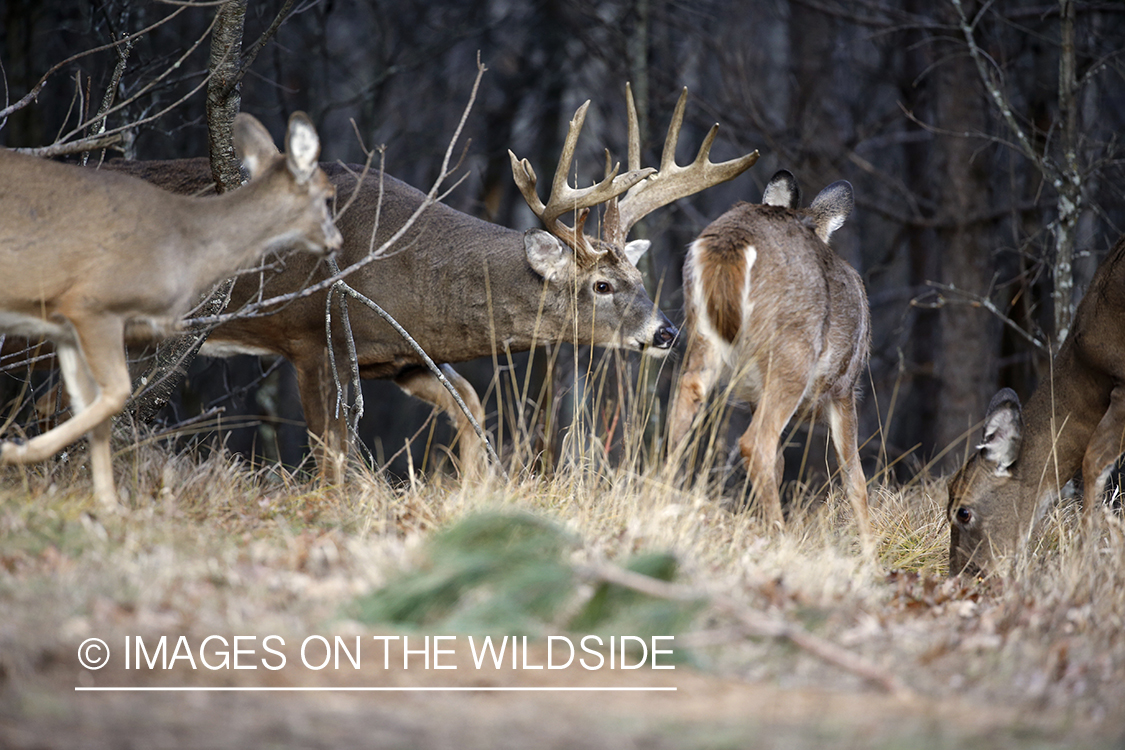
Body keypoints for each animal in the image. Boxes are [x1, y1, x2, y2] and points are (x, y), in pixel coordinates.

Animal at [1, 111, 342, 508]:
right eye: (329, 197)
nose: (337, 242)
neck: (184, 242)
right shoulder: (92, 302)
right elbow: (116, 393)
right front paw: (15, 452)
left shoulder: (63, 324)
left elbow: (89, 409)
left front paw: (108, 504)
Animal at [103, 83, 756, 481]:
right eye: (601, 286)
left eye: (638, 274)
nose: (666, 332)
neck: (399, 264)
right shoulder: (311, 336)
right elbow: (330, 448)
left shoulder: (402, 354)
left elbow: (471, 407)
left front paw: (474, 491)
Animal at [666, 169, 868, 537]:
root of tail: (731, 241)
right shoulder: (844, 386)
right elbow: (854, 478)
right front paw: (870, 545)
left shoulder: (753, 394)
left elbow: (782, 462)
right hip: (793, 350)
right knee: (756, 443)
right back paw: (781, 534)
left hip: (702, 332)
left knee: (685, 402)